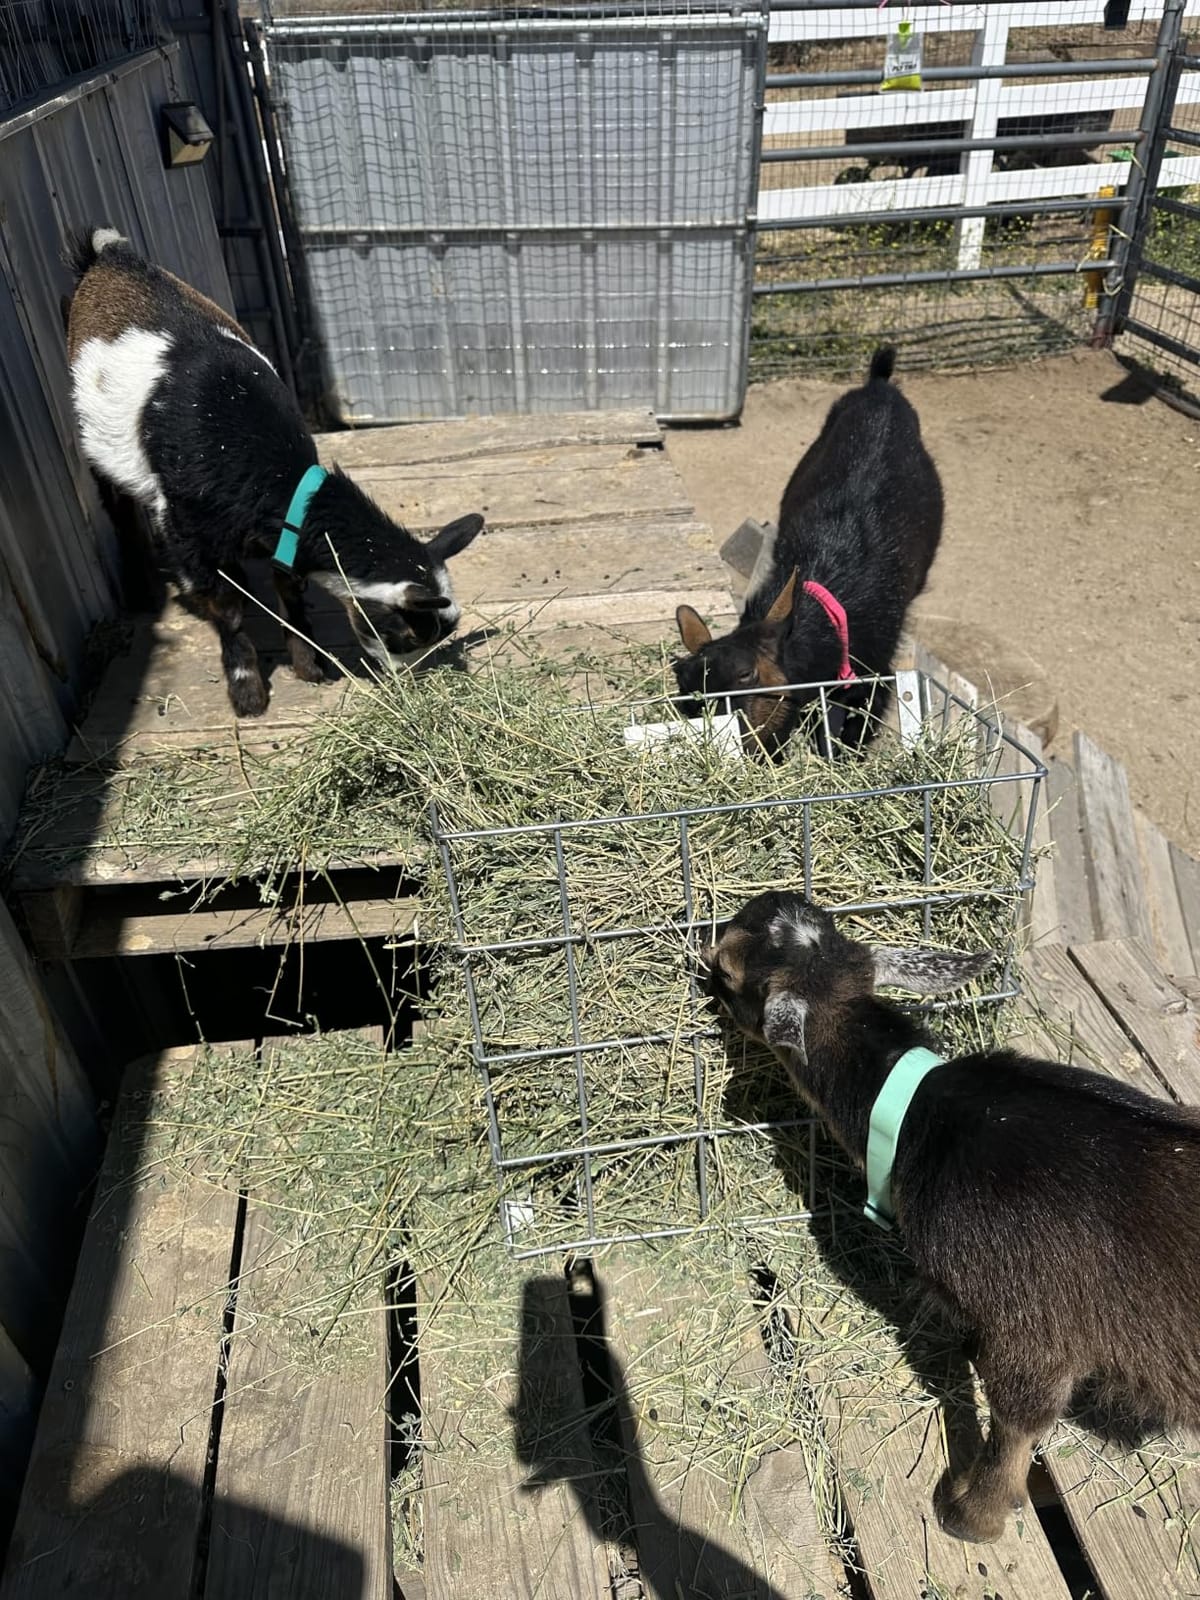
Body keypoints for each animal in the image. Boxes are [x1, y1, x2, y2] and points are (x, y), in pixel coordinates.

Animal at [64, 227, 483, 717]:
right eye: (401, 633)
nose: (404, 682)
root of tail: (111, 255)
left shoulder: (283, 536)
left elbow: (288, 591)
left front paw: (309, 665)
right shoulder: (186, 530)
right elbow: (226, 608)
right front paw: (247, 691)